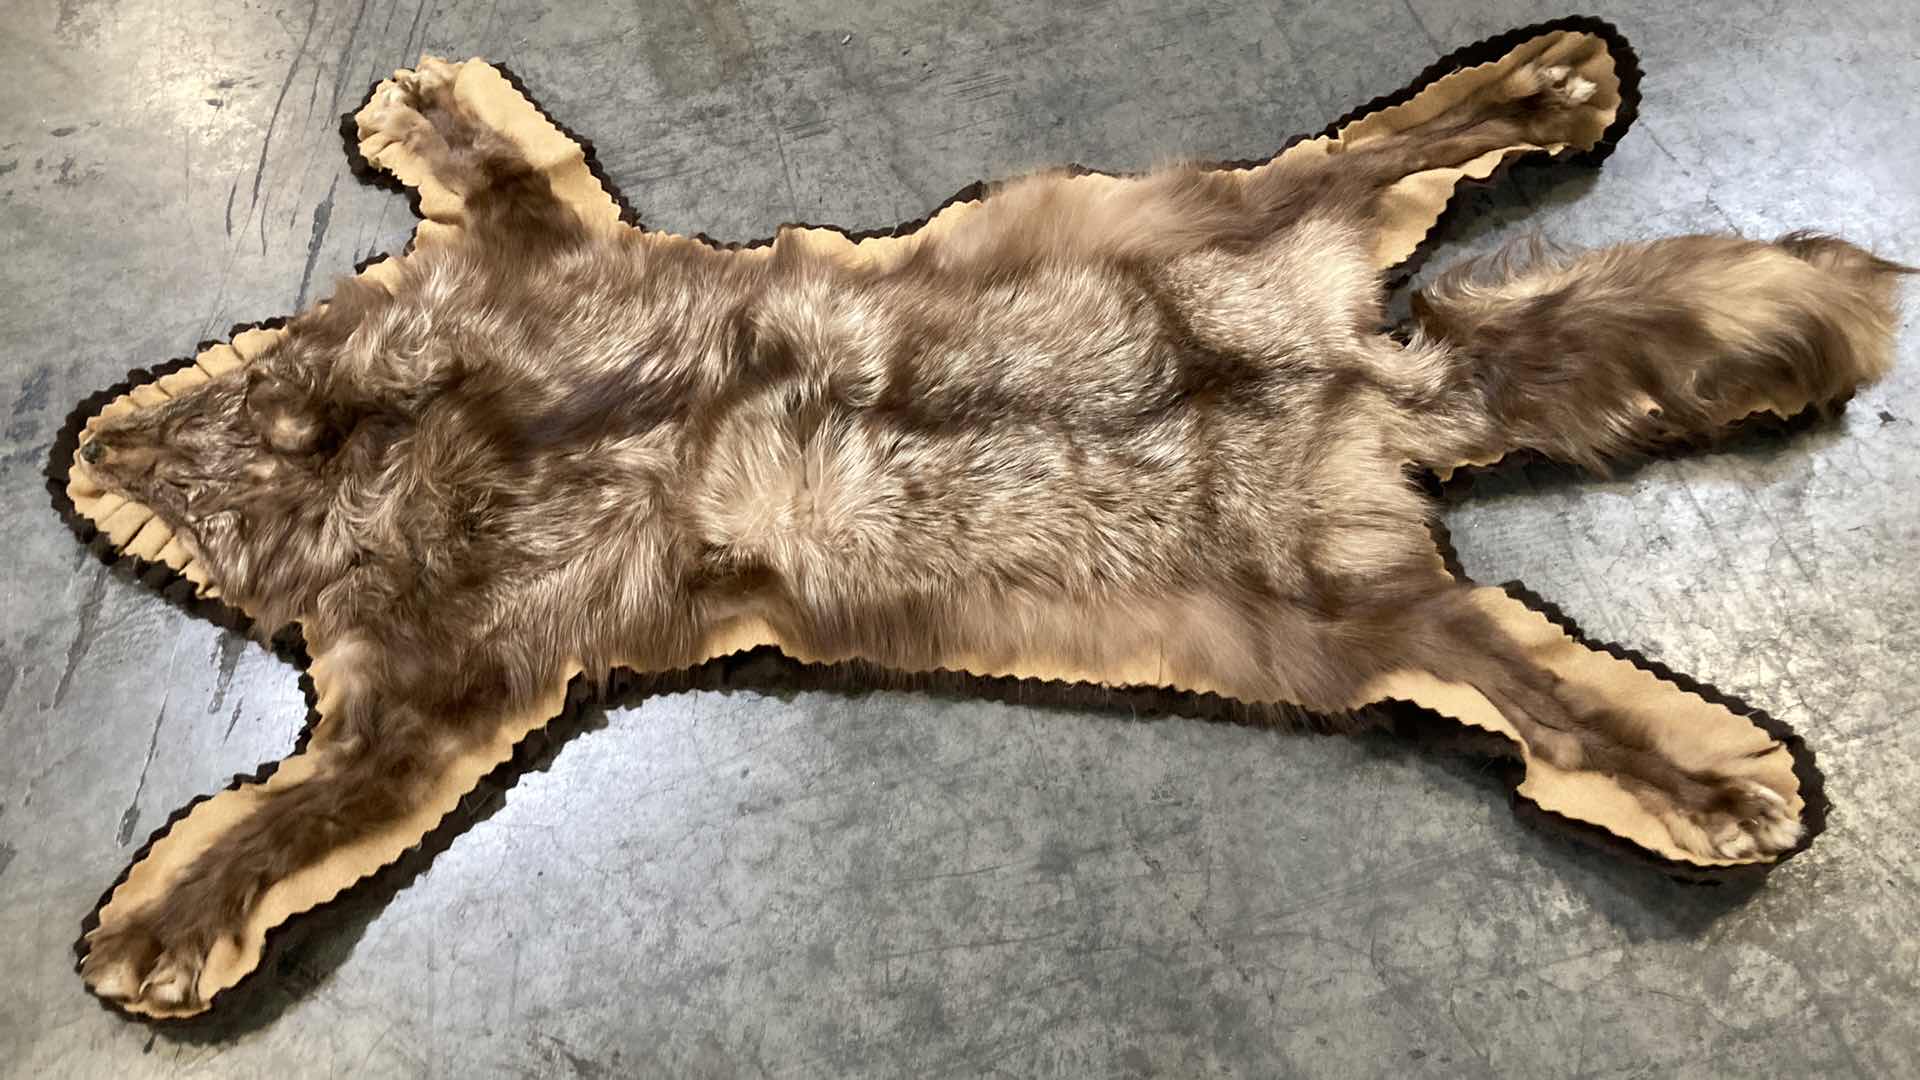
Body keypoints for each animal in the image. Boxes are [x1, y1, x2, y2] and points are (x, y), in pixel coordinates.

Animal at [73, 48, 1908, 1009]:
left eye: (258, 424)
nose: (95, 442)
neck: (426, 434)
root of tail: (1374, 388)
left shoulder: (474, 597)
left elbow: (290, 816)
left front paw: (161, 924)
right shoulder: (453, 674)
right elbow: (315, 806)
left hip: (1239, 238)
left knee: (1392, 141)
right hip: (1358, 608)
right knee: (1538, 679)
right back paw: (1708, 771)